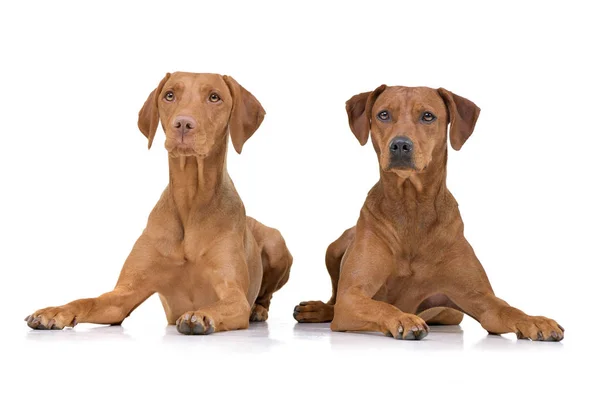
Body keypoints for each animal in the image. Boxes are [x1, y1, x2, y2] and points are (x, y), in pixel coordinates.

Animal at [25, 72, 292, 334]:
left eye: (214, 97)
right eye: (169, 95)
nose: (183, 124)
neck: (191, 200)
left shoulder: (234, 296)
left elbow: (223, 304)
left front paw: (202, 314)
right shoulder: (124, 295)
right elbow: (87, 301)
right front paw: (55, 311)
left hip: (276, 242)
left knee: (265, 296)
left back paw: (258, 310)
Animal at [292, 84, 564, 340]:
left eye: (427, 116)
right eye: (383, 114)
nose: (400, 145)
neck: (412, 206)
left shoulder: (481, 299)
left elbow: (508, 309)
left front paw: (536, 321)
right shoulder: (352, 297)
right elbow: (378, 305)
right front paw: (403, 318)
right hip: (334, 247)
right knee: (334, 300)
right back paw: (316, 309)